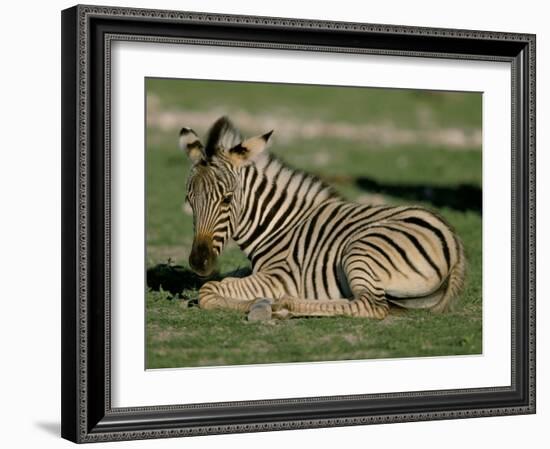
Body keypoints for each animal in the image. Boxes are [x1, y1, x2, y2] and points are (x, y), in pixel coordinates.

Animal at [180, 115, 466, 318]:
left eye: (227, 199)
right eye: (189, 201)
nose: (198, 263)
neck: (279, 226)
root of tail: (455, 245)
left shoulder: (280, 276)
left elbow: (209, 291)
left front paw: (258, 303)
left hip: (361, 251)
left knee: (371, 306)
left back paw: (285, 305)